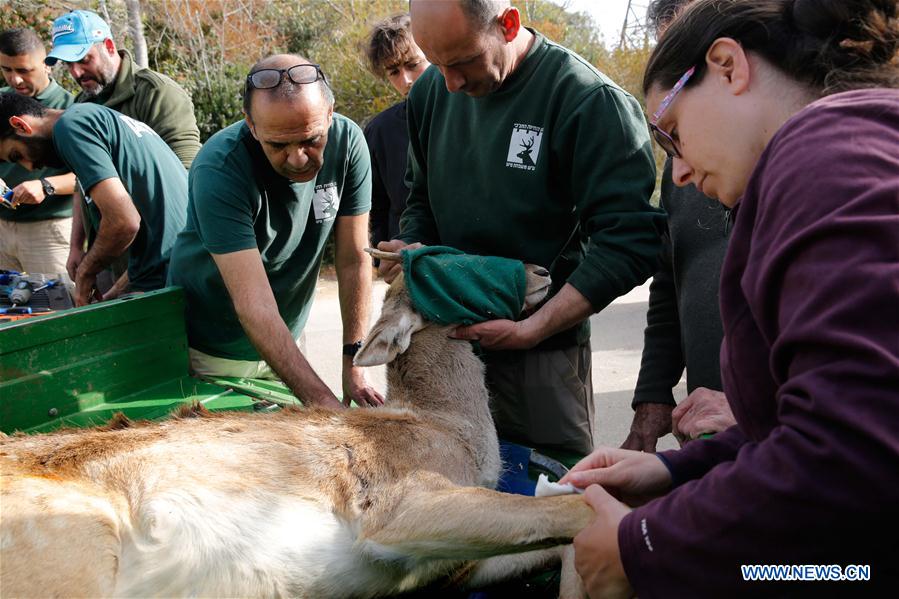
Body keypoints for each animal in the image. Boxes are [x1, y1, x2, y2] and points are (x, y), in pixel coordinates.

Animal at [0, 255, 596, 596]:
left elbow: (556, 543)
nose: (544, 272)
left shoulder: (450, 569)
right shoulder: (397, 504)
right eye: (452, 264)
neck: (450, 430)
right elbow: (573, 511)